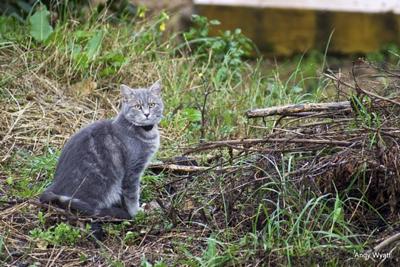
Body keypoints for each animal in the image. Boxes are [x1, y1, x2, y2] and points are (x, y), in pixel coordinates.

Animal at [38, 81, 162, 220]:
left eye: (152, 104)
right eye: (137, 106)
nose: (147, 114)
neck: (145, 132)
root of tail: (55, 186)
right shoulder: (132, 172)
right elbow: (132, 196)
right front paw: (136, 213)